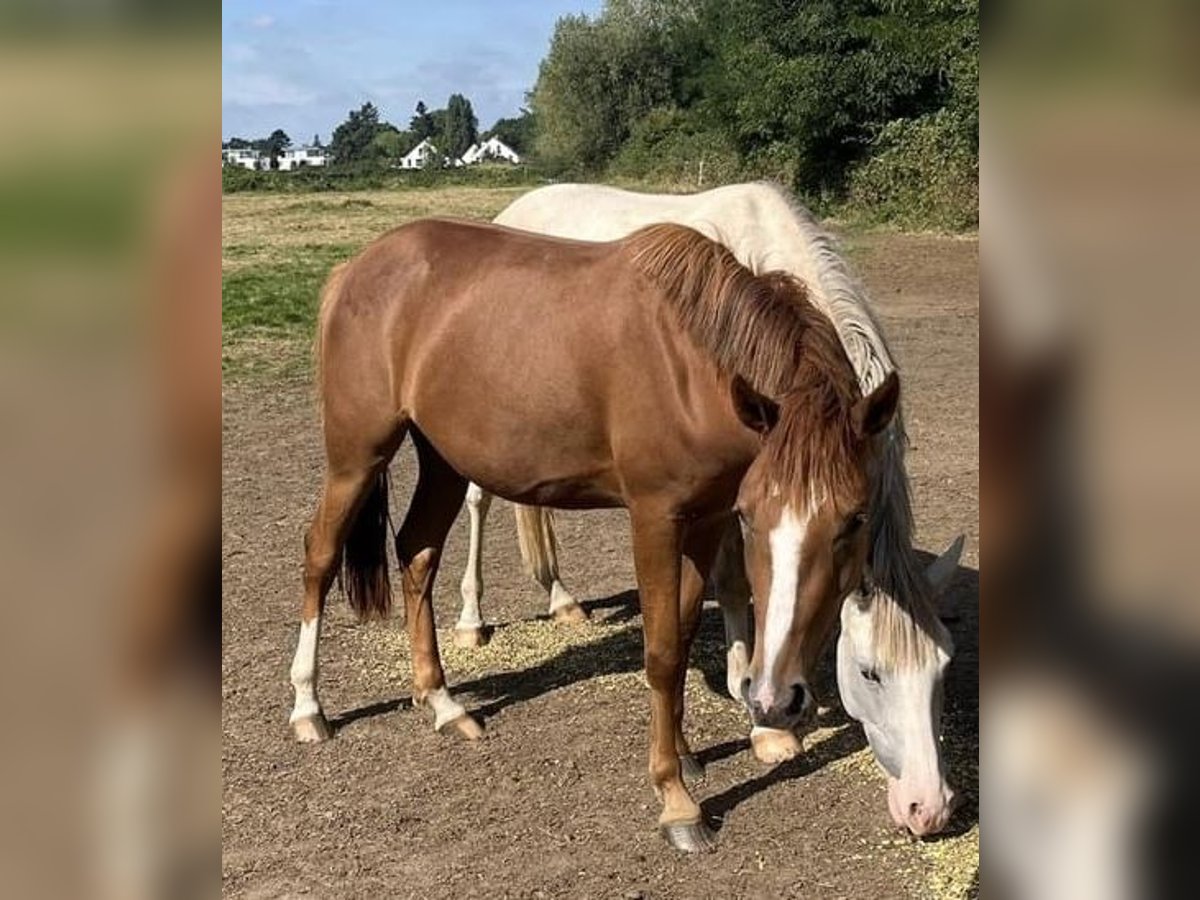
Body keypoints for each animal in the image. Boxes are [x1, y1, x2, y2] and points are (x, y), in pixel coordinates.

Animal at [285, 218, 897, 854]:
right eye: (752, 518)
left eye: (853, 519)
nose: (778, 700)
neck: (690, 365)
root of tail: (354, 269)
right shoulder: (655, 517)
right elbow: (662, 652)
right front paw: (676, 799)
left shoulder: (703, 519)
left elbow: (680, 634)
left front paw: (686, 755)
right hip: (357, 456)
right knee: (320, 557)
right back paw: (309, 707)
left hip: (443, 461)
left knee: (417, 554)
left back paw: (442, 703)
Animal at [453, 183, 960, 840]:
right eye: (870, 671)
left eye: (943, 669)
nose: (930, 807)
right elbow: (738, 584)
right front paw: (761, 720)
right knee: (479, 502)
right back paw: (470, 621)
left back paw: (563, 600)